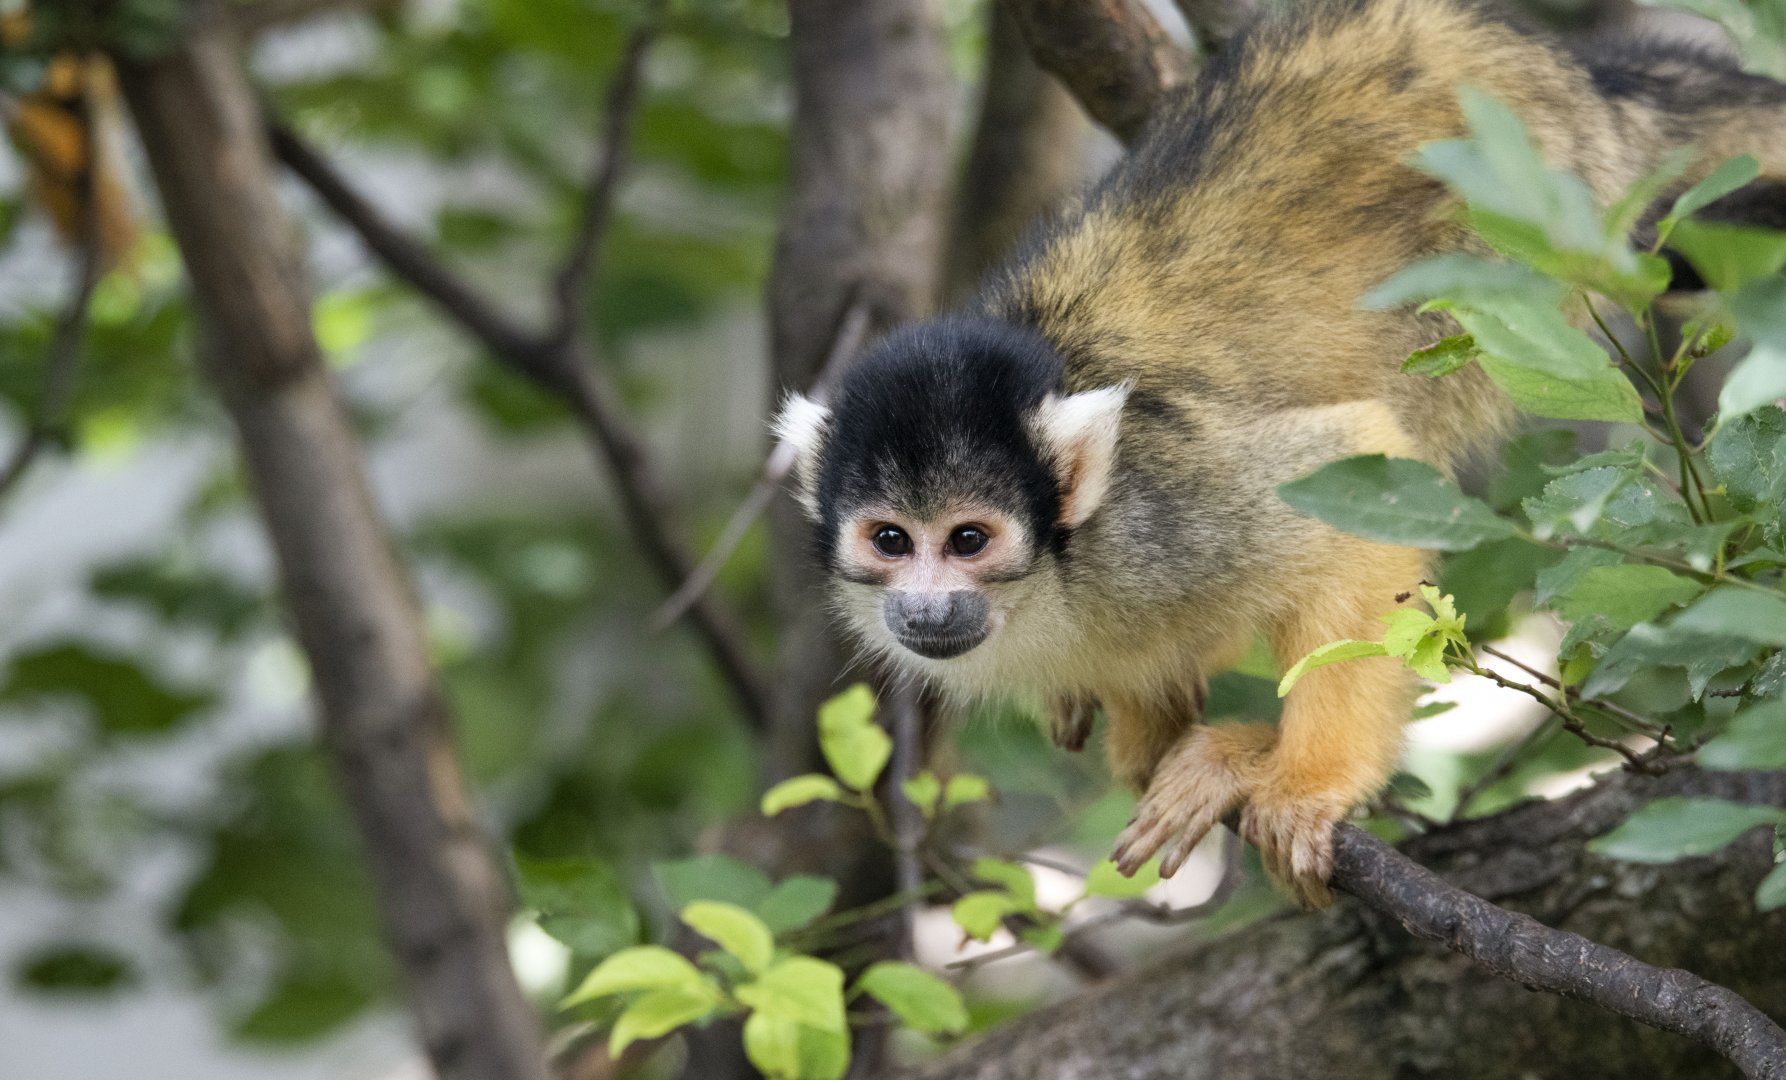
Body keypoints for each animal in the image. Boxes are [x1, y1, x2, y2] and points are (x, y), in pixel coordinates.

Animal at [774, 0, 1786, 907]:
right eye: (892, 541)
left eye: (969, 541)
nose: (926, 608)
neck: (1062, 569)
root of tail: (1577, 80)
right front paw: (1151, 716)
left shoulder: (1162, 519)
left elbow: (1349, 485)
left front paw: (1294, 778)